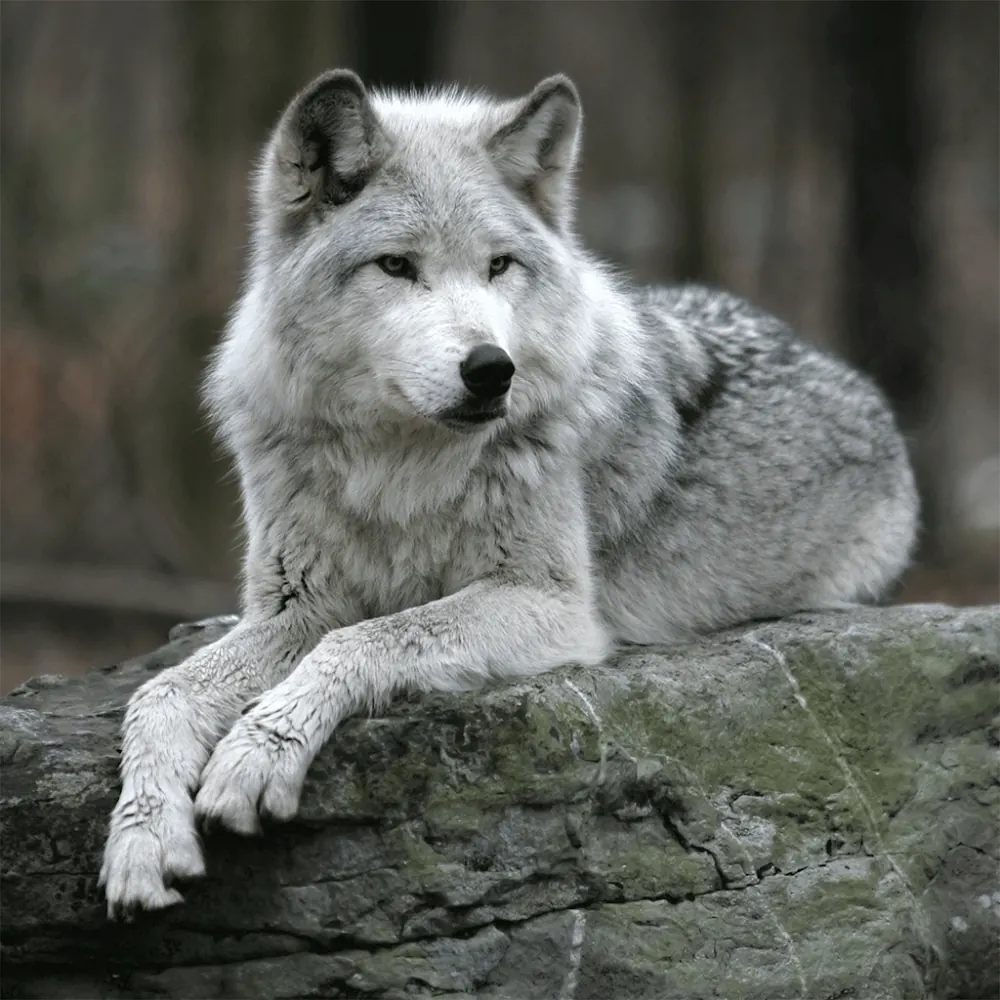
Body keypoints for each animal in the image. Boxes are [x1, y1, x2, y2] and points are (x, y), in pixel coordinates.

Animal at [100, 70, 918, 917]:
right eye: (396, 266)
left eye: (498, 266)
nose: (493, 369)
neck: (399, 470)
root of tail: (844, 369)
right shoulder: (296, 607)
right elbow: (159, 692)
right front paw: (142, 838)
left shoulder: (550, 604)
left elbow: (364, 639)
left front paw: (256, 753)